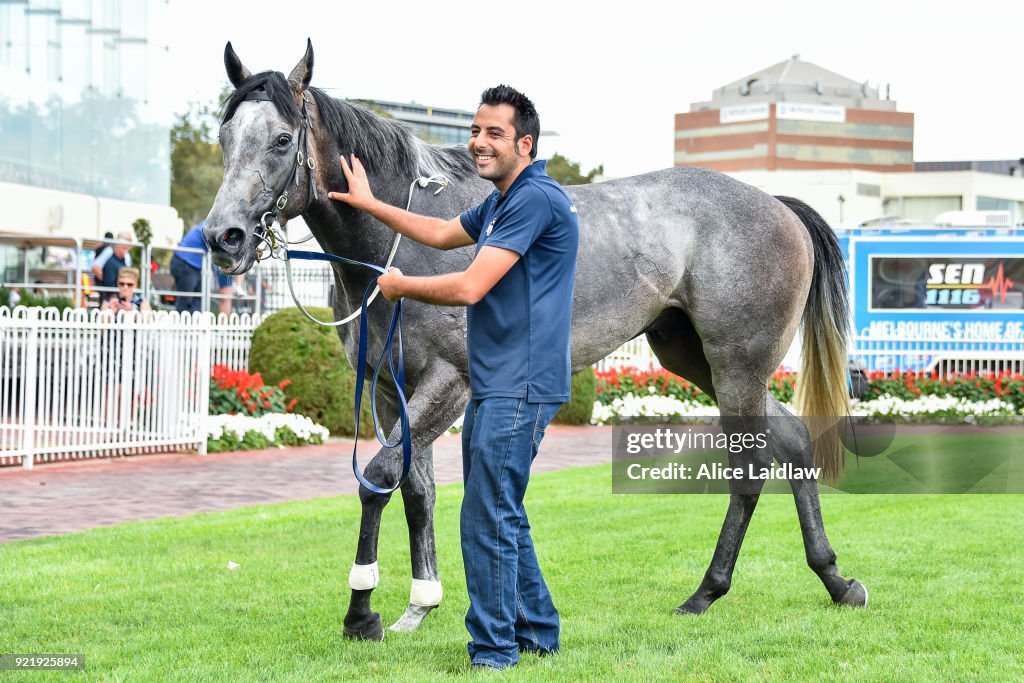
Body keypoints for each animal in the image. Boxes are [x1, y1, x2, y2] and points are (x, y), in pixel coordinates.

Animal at [203, 41, 868, 643]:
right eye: (224, 137)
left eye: (281, 140)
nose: (222, 237)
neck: (401, 242)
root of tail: (777, 204)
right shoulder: (391, 389)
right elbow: (414, 488)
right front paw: (420, 603)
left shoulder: (449, 382)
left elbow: (379, 476)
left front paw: (361, 612)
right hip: (694, 358)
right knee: (793, 440)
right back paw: (834, 579)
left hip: (736, 367)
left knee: (751, 468)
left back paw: (707, 591)